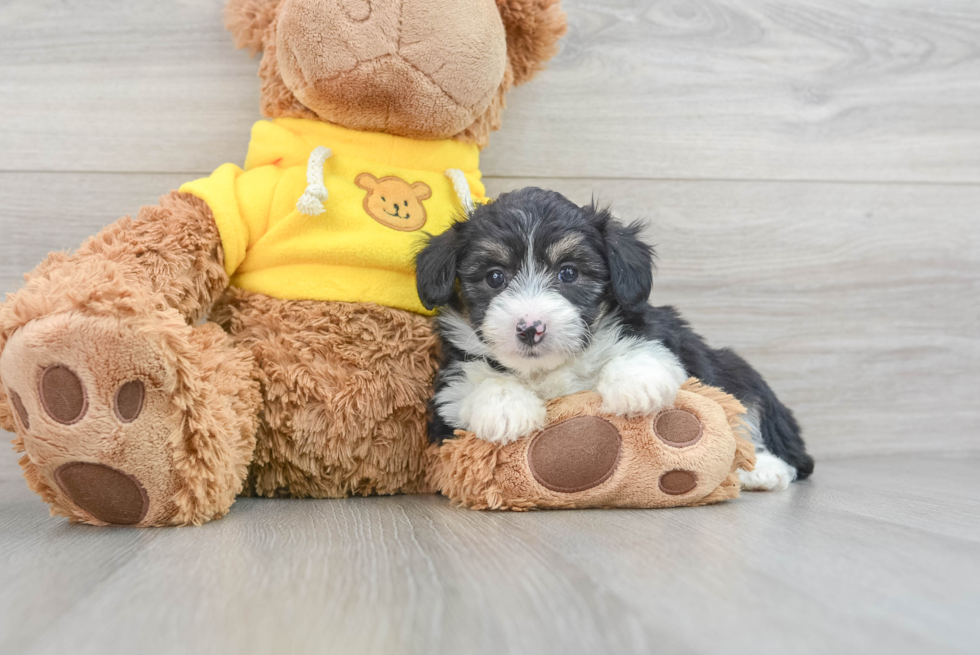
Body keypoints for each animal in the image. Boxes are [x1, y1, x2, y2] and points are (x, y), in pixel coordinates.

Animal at [414, 187, 812, 490]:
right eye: (495, 277)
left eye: (568, 273)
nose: (530, 328)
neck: (547, 371)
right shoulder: (446, 404)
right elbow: (475, 383)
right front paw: (504, 408)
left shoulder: (660, 335)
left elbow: (641, 350)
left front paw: (636, 386)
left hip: (738, 372)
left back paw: (761, 470)